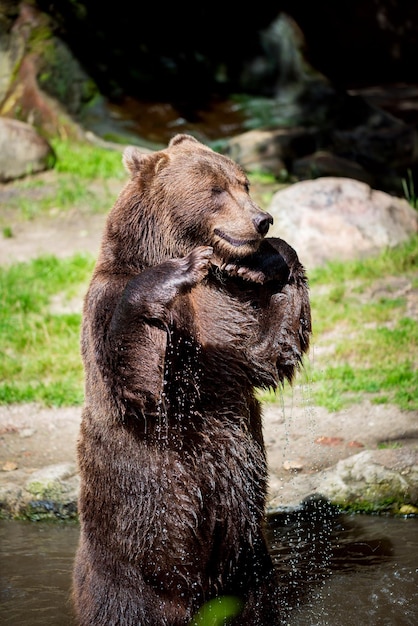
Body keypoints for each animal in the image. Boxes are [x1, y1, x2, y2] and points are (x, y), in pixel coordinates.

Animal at [72, 133, 310, 624]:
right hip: (135, 547)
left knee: (255, 593)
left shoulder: (226, 315)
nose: (262, 219)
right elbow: (138, 383)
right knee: (129, 598)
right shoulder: (109, 304)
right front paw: (172, 273)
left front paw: (274, 255)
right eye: (215, 190)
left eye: (244, 182)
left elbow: (268, 352)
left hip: (246, 555)